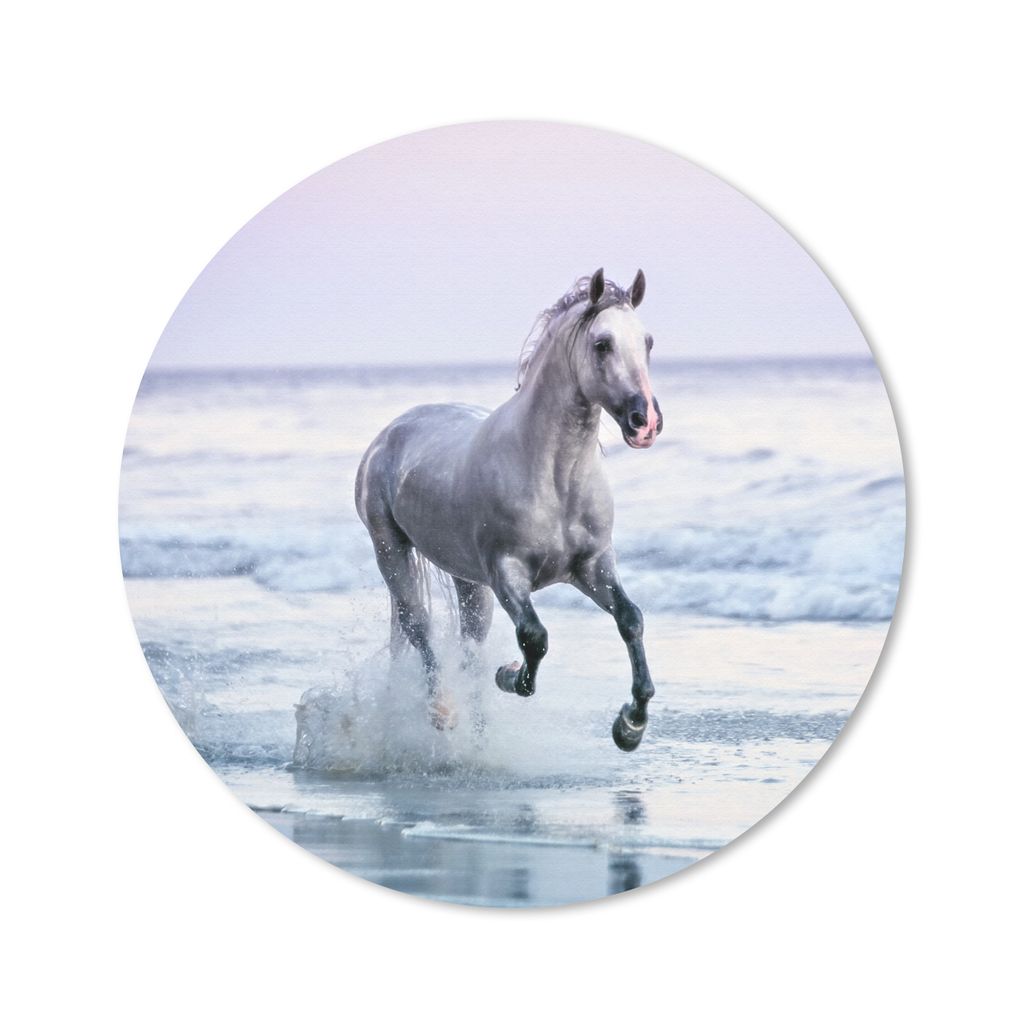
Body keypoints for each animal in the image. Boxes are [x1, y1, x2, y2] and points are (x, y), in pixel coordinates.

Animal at [355, 268, 663, 751]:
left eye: (647, 341)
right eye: (602, 344)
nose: (644, 422)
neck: (554, 477)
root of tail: (389, 434)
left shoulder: (592, 566)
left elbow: (631, 619)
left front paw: (630, 726)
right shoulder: (507, 573)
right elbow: (534, 639)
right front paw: (509, 675)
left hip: (467, 580)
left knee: (469, 645)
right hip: (391, 551)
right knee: (419, 628)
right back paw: (442, 711)